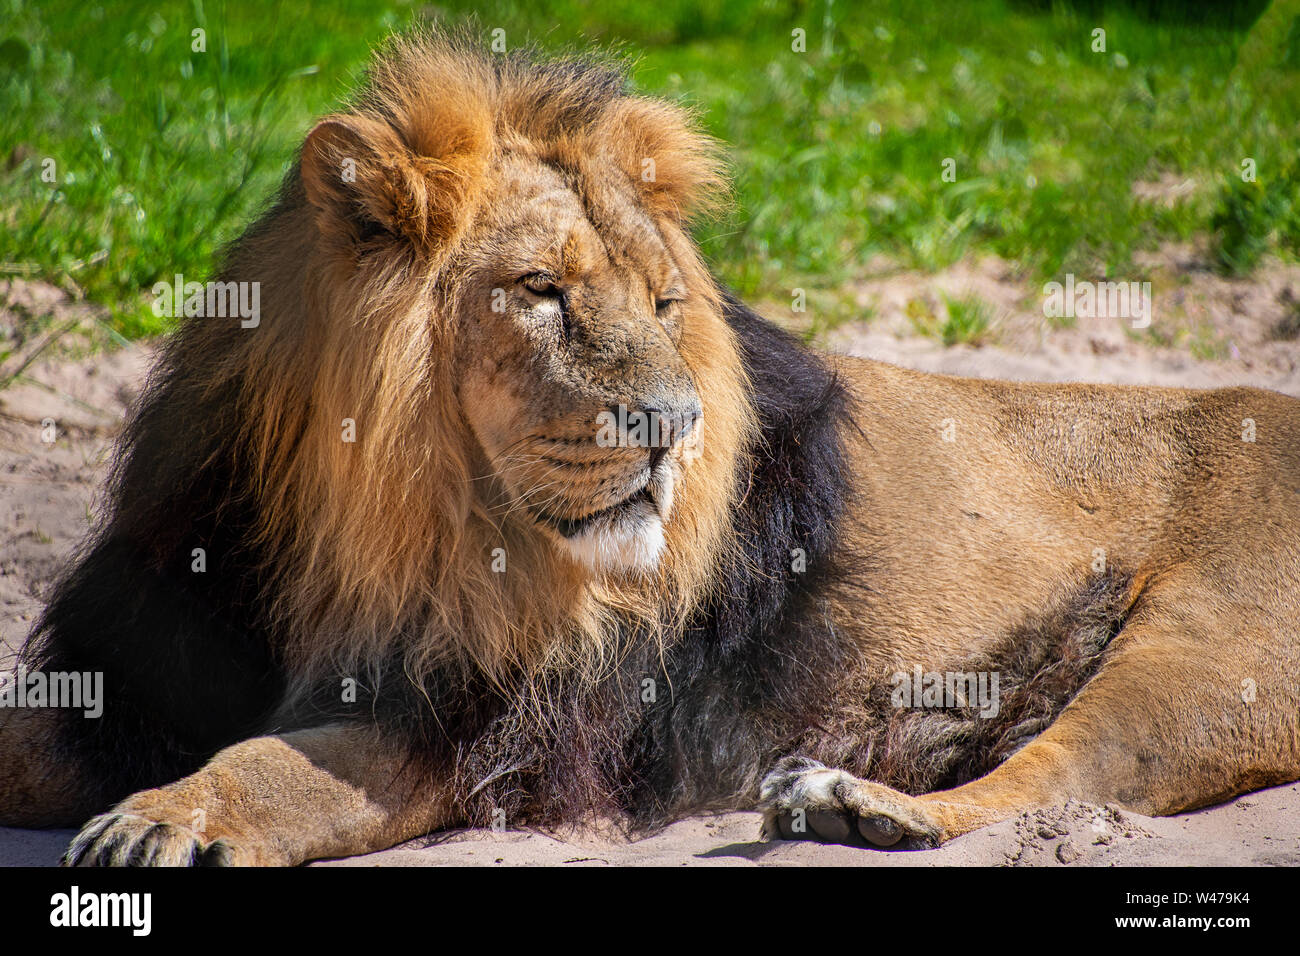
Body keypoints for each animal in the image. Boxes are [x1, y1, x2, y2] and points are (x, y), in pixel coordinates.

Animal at [2, 31, 1300, 868]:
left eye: (664, 300)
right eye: (540, 291)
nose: (676, 428)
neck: (357, 519)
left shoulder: (477, 726)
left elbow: (279, 762)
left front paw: (170, 814)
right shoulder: (137, 673)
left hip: (1196, 655)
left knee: (1066, 772)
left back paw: (856, 803)